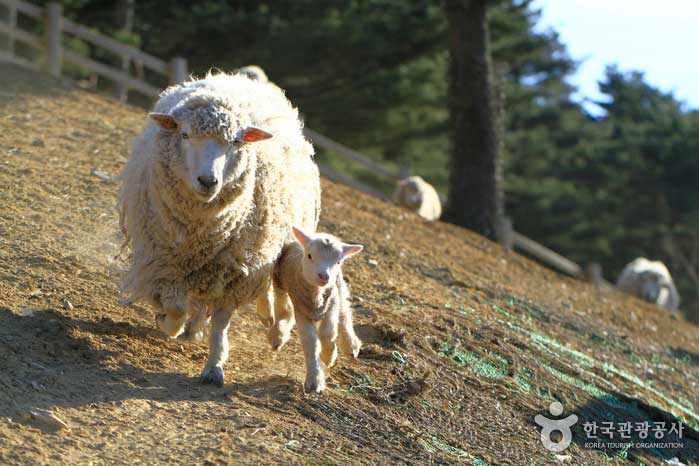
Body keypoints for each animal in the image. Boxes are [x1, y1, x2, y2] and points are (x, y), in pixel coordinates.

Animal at [117, 71, 320, 386]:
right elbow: (175, 308)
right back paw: (193, 327)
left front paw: (214, 366)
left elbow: (221, 323)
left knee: (274, 289)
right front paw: (168, 323)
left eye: (236, 141)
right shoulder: (165, 264)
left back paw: (273, 326)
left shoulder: (232, 270)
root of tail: (237, 78)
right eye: (184, 135)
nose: (208, 181)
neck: (201, 235)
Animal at [270, 226, 364, 394]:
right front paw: (314, 380)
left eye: (338, 261)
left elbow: (328, 334)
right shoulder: (302, 311)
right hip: (281, 282)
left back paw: (351, 344)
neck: (316, 295)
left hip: (338, 285)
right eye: (309, 256)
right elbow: (311, 343)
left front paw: (328, 356)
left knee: (344, 313)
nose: (324, 276)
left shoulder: (331, 304)